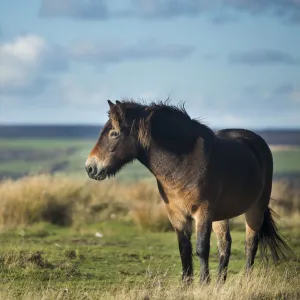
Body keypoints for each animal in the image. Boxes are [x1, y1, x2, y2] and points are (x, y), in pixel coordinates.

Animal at [84, 99, 292, 284]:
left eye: (114, 133)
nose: (90, 168)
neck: (183, 165)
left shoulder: (203, 212)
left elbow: (201, 248)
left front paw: (203, 283)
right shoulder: (176, 214)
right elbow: (184, 249)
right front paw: (187, 284)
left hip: (255, 208)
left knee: (250, 245)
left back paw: (245, 281)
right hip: (221, 216)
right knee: (225, 246)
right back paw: (220, 283)